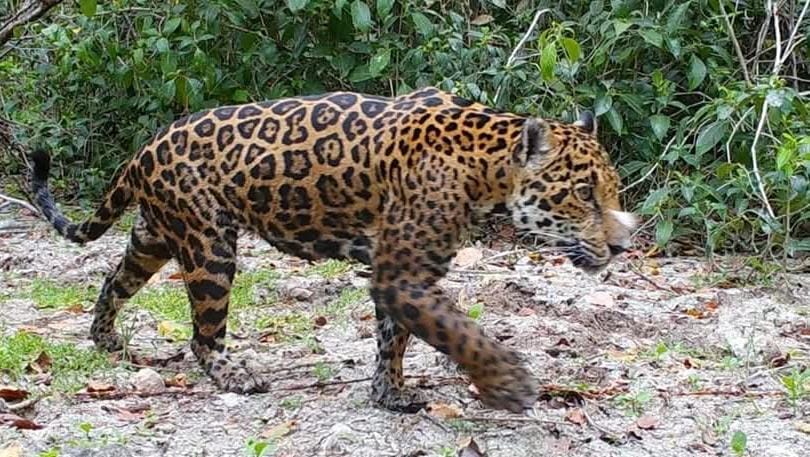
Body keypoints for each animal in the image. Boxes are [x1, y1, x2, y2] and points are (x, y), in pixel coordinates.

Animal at [28, 86, 636, 414]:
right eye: (584, 193)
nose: (622, 244)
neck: (487, 168)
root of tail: (145, 147)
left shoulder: (402, 273)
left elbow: (395, 337)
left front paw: (389, 393)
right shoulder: (401, 274)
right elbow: (459, 331)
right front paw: (507, 384)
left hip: (155, 234)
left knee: (114, 279)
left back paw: (105, 337)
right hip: (208, 244)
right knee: (203, 335)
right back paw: (234, 375)